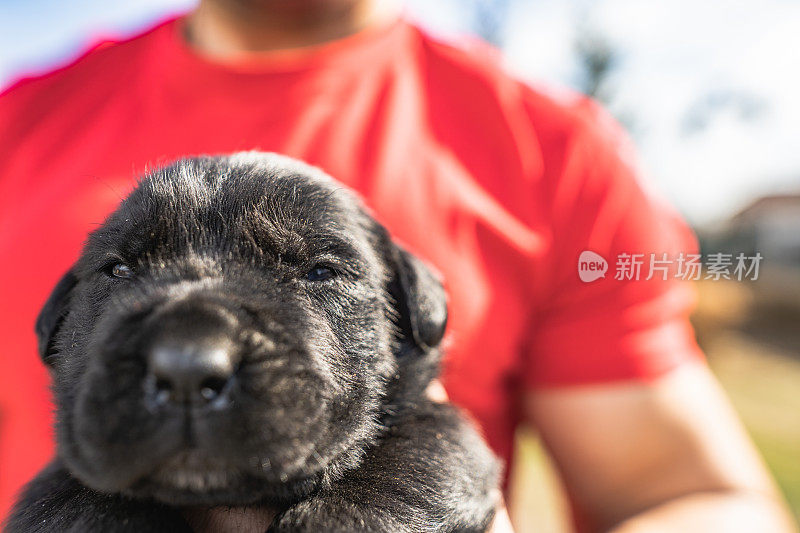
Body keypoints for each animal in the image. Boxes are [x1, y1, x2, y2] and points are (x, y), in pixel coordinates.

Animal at [7, 152, 500, 528]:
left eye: (320, 271)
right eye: (120, 270)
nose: (187, 369)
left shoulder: (434, 428)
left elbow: (414, 461)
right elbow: (76, 499)